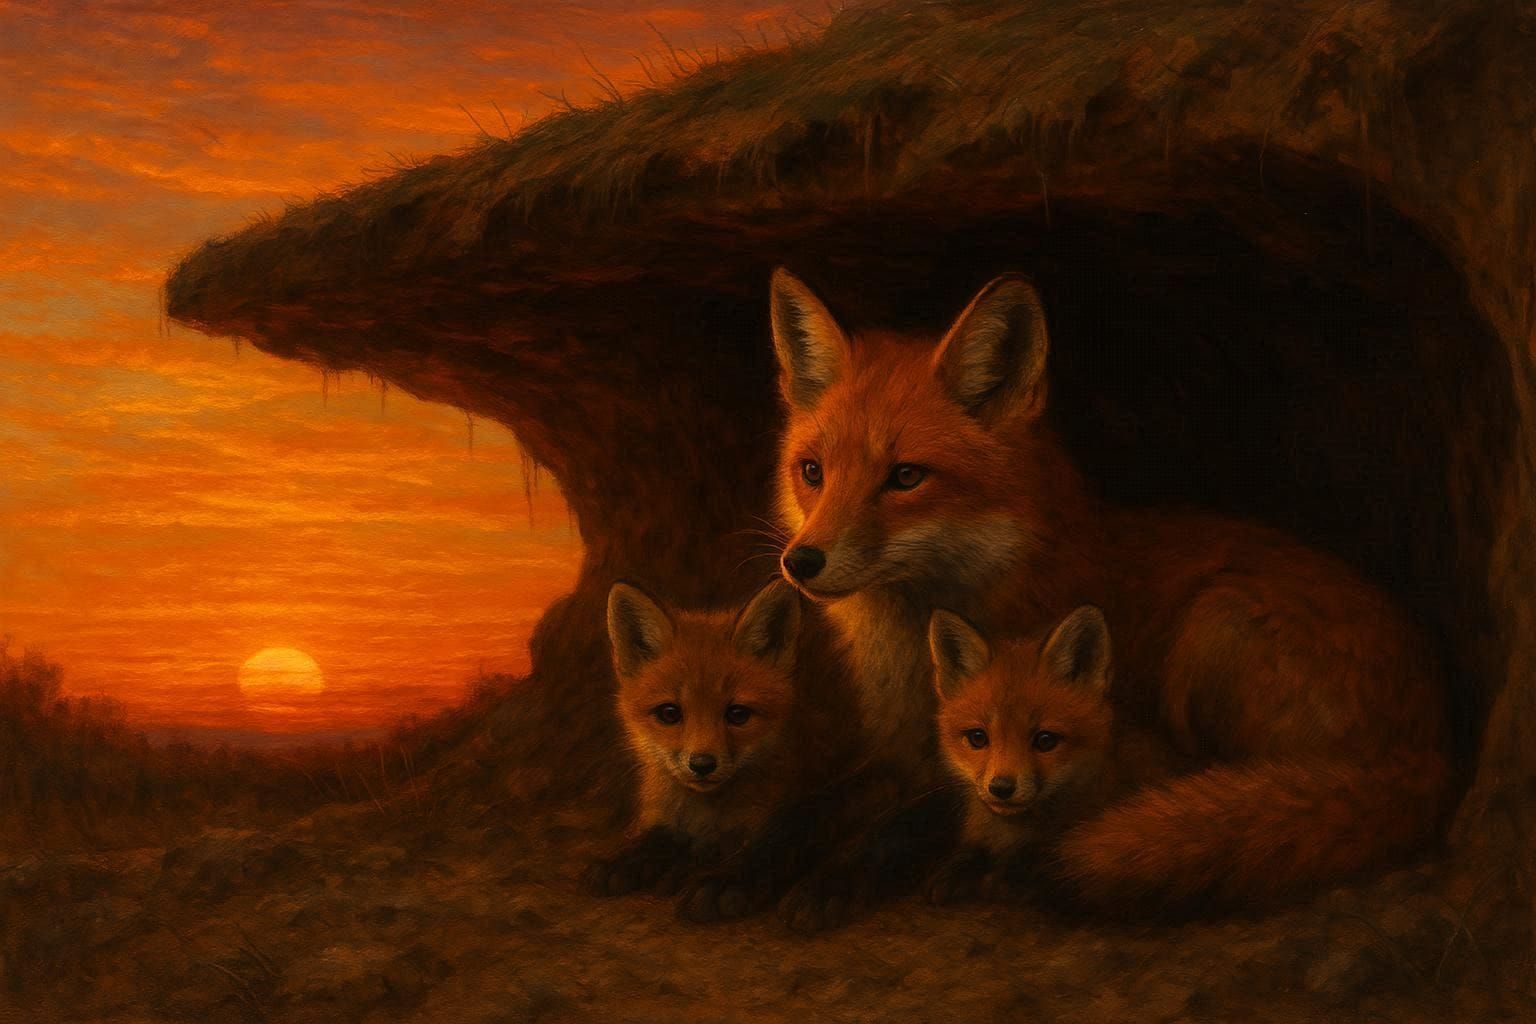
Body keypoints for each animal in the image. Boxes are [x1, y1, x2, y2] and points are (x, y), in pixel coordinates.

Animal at [590, 578, 857, 921]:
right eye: (669, 713)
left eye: (738, 714)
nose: (702, 764)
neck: (704, 813)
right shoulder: (662, 818)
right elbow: (654, 840)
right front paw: (624, 860)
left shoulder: (766, 822)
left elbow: (739, 850)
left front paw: (691, 875)